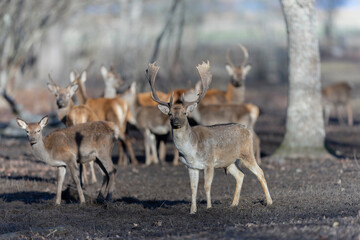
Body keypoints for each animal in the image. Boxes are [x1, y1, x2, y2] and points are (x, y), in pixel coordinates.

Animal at [147, 60, 272, 214]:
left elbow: (207, 186)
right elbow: (193, 188)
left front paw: (208, 207)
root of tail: (247, 129)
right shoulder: (191, 166)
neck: (190, 151)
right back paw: (233, 204)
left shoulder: (209, 162)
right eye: (170, 113)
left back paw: (269, 202)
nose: (176, 122)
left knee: (260, 172)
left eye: (184, 113)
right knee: (240, 175)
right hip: (229, 161)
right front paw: (192, 211)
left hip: (247, 153)